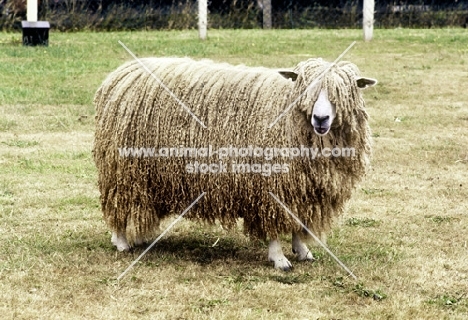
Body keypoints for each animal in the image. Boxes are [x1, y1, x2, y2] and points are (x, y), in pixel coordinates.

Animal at [94, 57, 376, 270]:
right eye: (304, 90)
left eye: (344, 94)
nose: (320, 118)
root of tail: (122, 72)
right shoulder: (269, 185)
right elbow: (273, 224)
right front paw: (279, 259)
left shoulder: (301, 188)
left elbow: (297, 222)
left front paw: (302, 250)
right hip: (122, 169)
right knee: (118, 202)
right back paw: (121, 242)